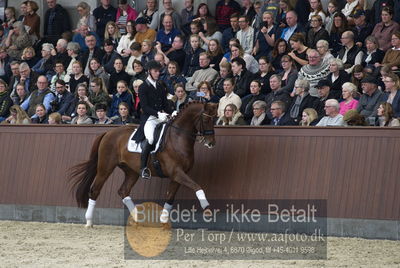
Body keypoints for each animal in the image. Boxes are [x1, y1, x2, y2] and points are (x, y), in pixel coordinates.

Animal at [70, 101, 217, 227]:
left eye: (215, 119)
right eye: (206, 120)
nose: (211, 143)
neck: (177, 137)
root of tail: (108, 132)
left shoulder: (178, 175)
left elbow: (170, 197)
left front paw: (163, 222)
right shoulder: (176, 172)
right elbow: (197, 186)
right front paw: (207, 207)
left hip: (131, 171)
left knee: (123, 191)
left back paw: (138, 218)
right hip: (105, 167)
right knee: (95, 190)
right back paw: (89, 222)